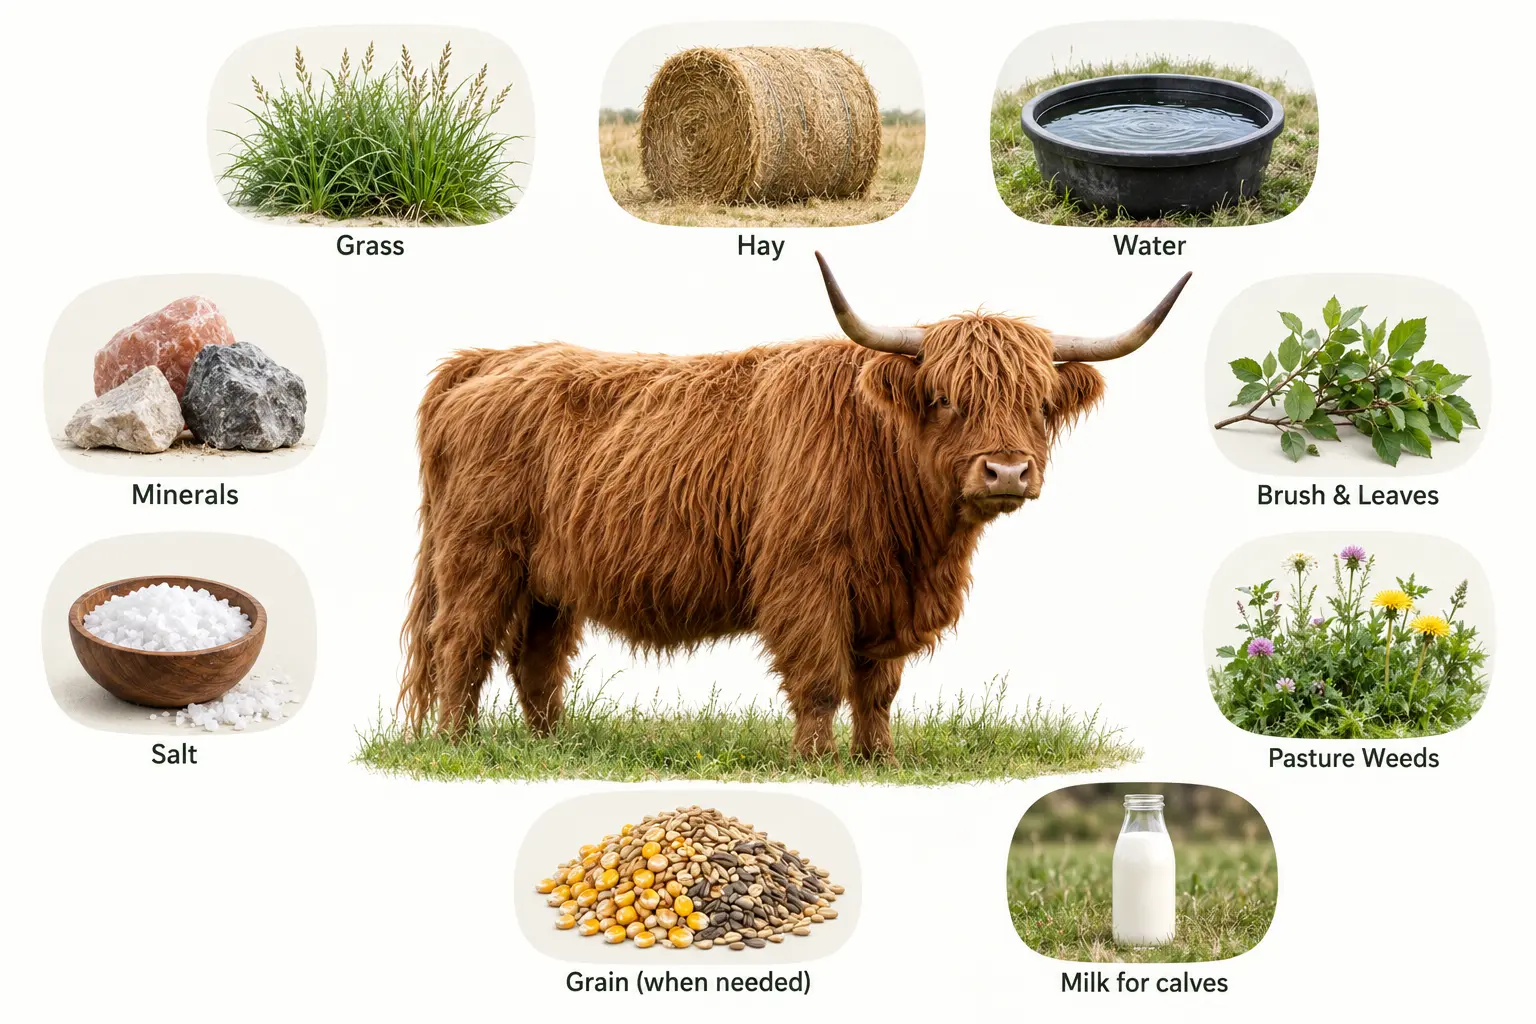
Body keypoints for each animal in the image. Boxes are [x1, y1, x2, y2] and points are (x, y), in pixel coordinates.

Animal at [399, 255, 1190, 759]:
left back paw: (551, 748)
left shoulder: (889, 600)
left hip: (548, 583)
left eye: (1038, 402)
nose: (1006, 470)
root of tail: (493, 358)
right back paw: (456, 746)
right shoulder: (805, 578)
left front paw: (879, 759)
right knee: (461, 644)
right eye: (943, 398)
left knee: (535, 662)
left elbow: (878, 688)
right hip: (479, 555)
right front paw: (814, 760)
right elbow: (820, 680)